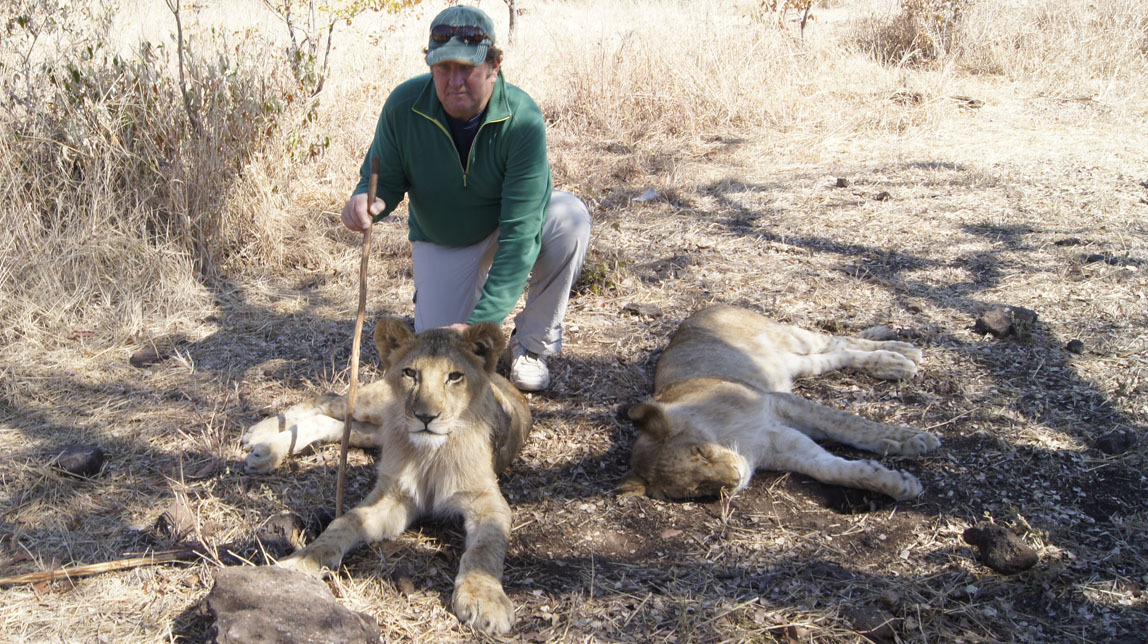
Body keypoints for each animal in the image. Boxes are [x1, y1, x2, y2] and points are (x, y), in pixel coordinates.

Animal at [241, 319, 532, 629]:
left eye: (454, 377)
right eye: (410, 373)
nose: (425, 417)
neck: (430, 453)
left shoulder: (488, 502)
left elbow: (485, 547)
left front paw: (485, 600)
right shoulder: (397, 495)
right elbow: (345, 522)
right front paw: (302, 560)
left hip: (376, 431)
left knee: (331, 422)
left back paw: (266, 451)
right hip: (374, 406)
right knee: (325, 400)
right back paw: (260, 436)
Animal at [619, 305, 941, 502]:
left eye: (702, 453)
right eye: (698, 489)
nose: (736, 478)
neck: (732, 440)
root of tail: (701, 310)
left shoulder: (775, 402)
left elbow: (851, 425)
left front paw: (913, 440)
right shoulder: (780, 445)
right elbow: (833, 470)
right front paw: (899, 483)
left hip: (790, 337)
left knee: (838, 341)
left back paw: (901, 355)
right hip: (792, 363)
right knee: (835, 355)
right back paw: (897, 361)